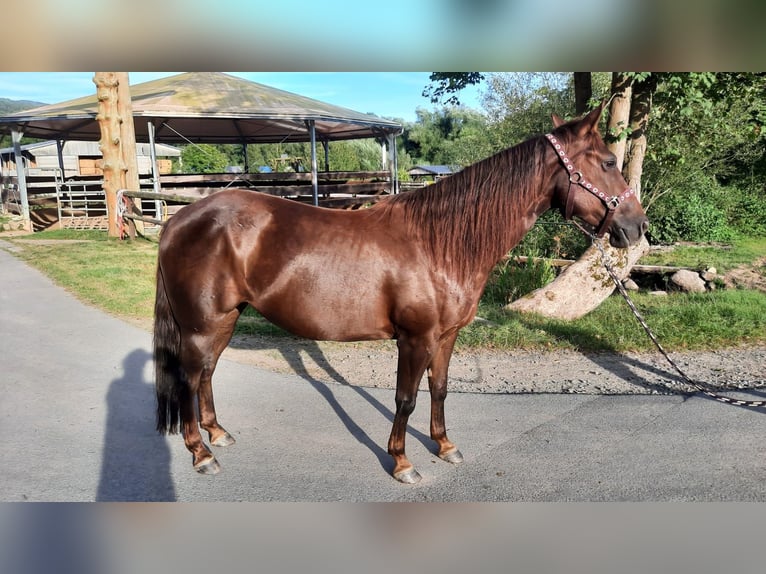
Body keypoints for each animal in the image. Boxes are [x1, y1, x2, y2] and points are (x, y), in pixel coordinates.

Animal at [154, 106, 648, 484]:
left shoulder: (446, 337)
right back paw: (202, 454)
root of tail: (179, 220)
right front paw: (402, 462)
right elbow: (405, 399)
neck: (438, 243)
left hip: (225, 319)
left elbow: (440, 388)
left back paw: (218, 434)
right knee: (187, 379)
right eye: (608, 162)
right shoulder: (415, 339)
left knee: (206, 374)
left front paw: (445, 445)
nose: (637, 227)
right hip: (202, 325)